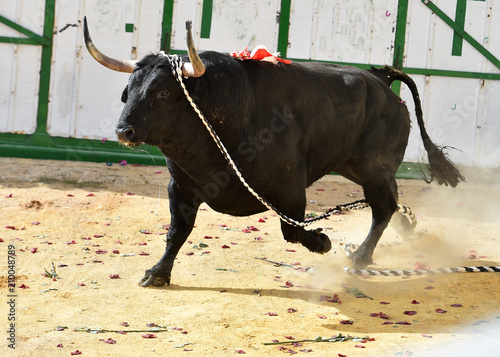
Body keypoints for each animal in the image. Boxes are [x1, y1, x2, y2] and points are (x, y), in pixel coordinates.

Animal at [84, 18, 462, 286]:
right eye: (128, 90)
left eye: (162, 93)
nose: (123, 131)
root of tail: (381, 81)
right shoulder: (182, 188)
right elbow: (178, 231)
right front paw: (158, 273)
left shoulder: (290, 190)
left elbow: (291, 229)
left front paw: (322, 240)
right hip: (356, 166)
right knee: (390, 201)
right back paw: (401, 228)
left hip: (373, 168)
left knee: (382, 206)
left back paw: (360, 257)